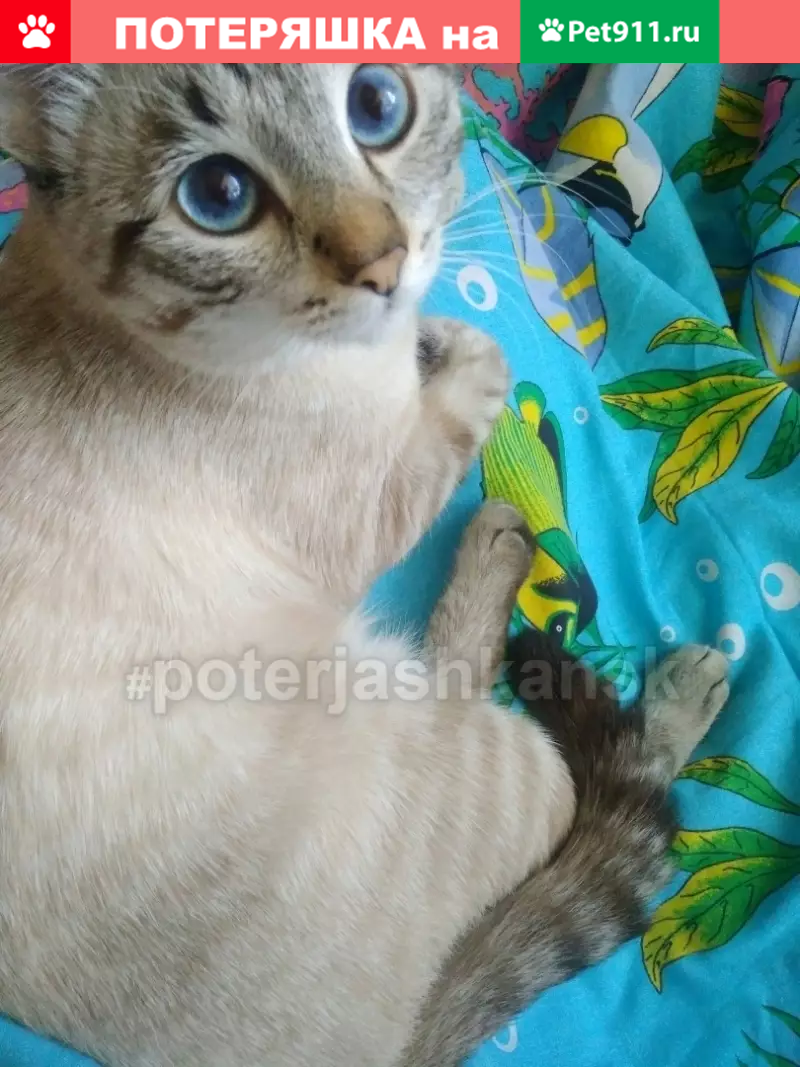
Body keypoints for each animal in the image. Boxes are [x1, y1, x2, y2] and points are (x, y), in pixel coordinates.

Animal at [0, 63, 728, 1067]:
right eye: (218, 196)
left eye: (376, 107)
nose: (384, 261)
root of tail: (392, 1049)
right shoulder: (375, 499)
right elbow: (468, 394)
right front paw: (458, 351)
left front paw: (428, 333)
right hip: (477, 745)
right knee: (576, 761)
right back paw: (639, 656)